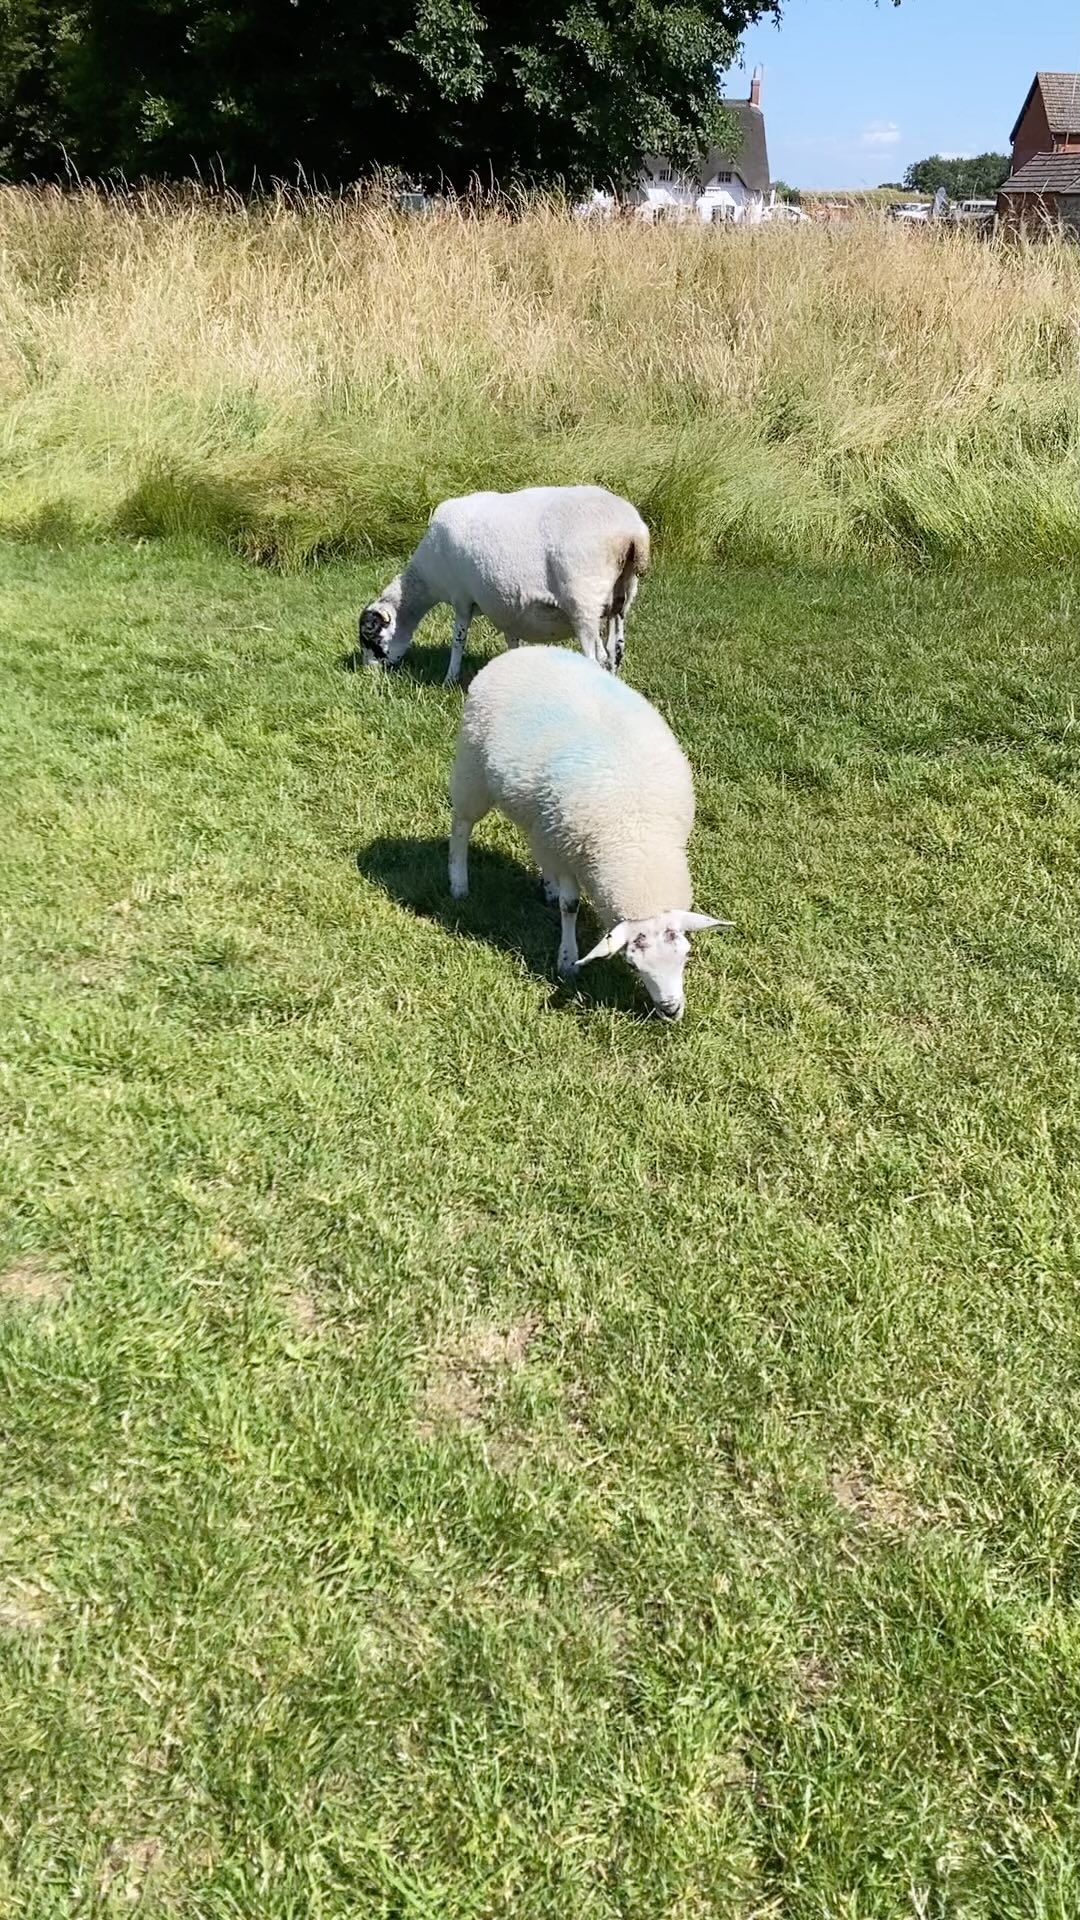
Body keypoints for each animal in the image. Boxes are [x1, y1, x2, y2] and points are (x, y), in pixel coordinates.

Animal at [358, 485, 649, 688]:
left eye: (370, 637)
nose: (368, 675)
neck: (428, 576)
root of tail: (632, 532)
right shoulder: (506, 605)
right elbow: (512, 639)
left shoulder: (461, 598)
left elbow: (458, 639)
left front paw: (449, 679)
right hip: (621, 597)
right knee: (615, 651)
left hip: (584, 600)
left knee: (596, 657)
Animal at [448, 646, 731, 1020]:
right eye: (633, 964)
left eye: (685, 955)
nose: (670, 1010)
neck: (637, 835)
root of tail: (525, 650)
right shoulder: (569, 850)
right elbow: (570, 906)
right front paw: (567, 960)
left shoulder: (562, 839)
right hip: (473, 769)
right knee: (461, 825)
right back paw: (458, 883)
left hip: (539, 814)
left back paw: (546, 885)